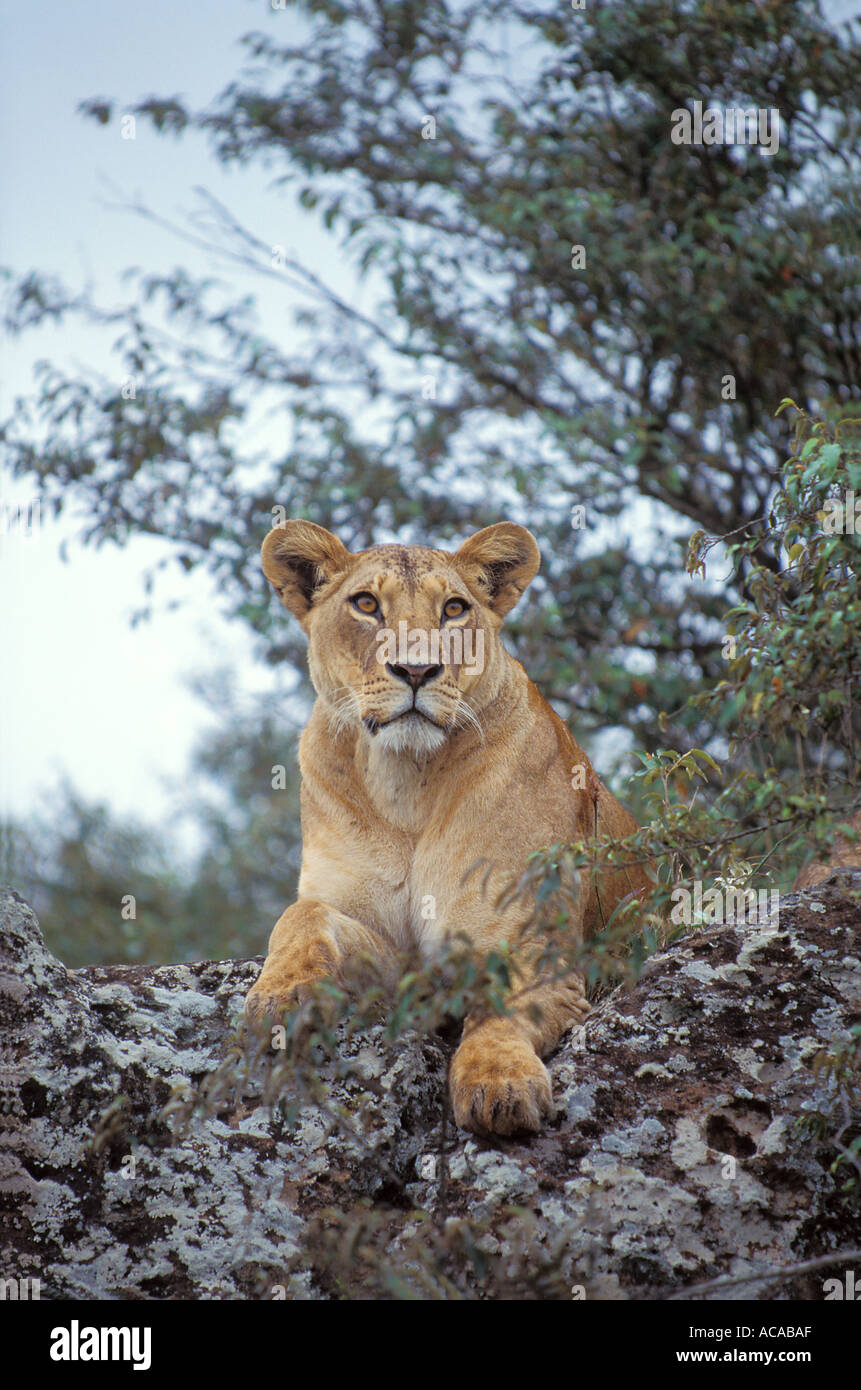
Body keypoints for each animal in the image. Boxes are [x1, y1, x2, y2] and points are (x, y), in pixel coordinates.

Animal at [245, 519, 651, 1135]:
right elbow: (302, 915)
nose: (416, 670)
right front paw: (278, 995)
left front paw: (500, 1084)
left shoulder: (535, 948)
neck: (406, 782)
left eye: (454, 609)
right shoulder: (394, 954)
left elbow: (499, 1010)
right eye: (366, 604)